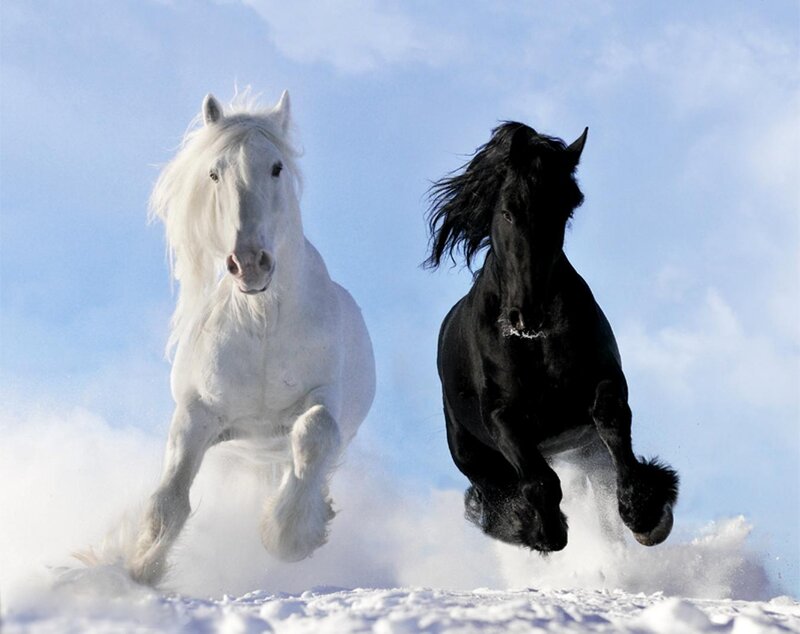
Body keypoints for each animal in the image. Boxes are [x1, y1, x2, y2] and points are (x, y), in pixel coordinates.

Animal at [128, 91, 375, 585]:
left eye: (277, 166)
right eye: (214, 172)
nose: (249, 263)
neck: (262, 323)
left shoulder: (326, 398)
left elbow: (315, 433)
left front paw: (288, 535)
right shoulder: (197, 414)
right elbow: (168, 500)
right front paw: (139, 568)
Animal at [425, 122, 679, 553]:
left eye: (563, 210)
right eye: (507, 211)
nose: (527, 315)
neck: (534, 346)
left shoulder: (605, 381)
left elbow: (613, 423)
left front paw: (646, 513)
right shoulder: (502, 418)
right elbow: (540, 481)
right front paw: (543, 530)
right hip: (472, 455)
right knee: (495, 494)